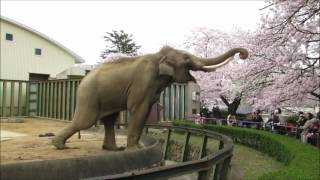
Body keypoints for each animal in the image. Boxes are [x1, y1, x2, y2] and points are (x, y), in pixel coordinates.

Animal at [52, 45, 248, 150]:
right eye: (186, 58)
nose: (243, 54)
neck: (159, 56)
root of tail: (82, 80)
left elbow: (146, 112)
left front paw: (136, 147)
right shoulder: (142, 81)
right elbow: (138, 109)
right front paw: (133, 150)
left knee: (109, 120)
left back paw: (113, 149)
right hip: (89, 95)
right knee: (85, 121)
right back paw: (59, 145)